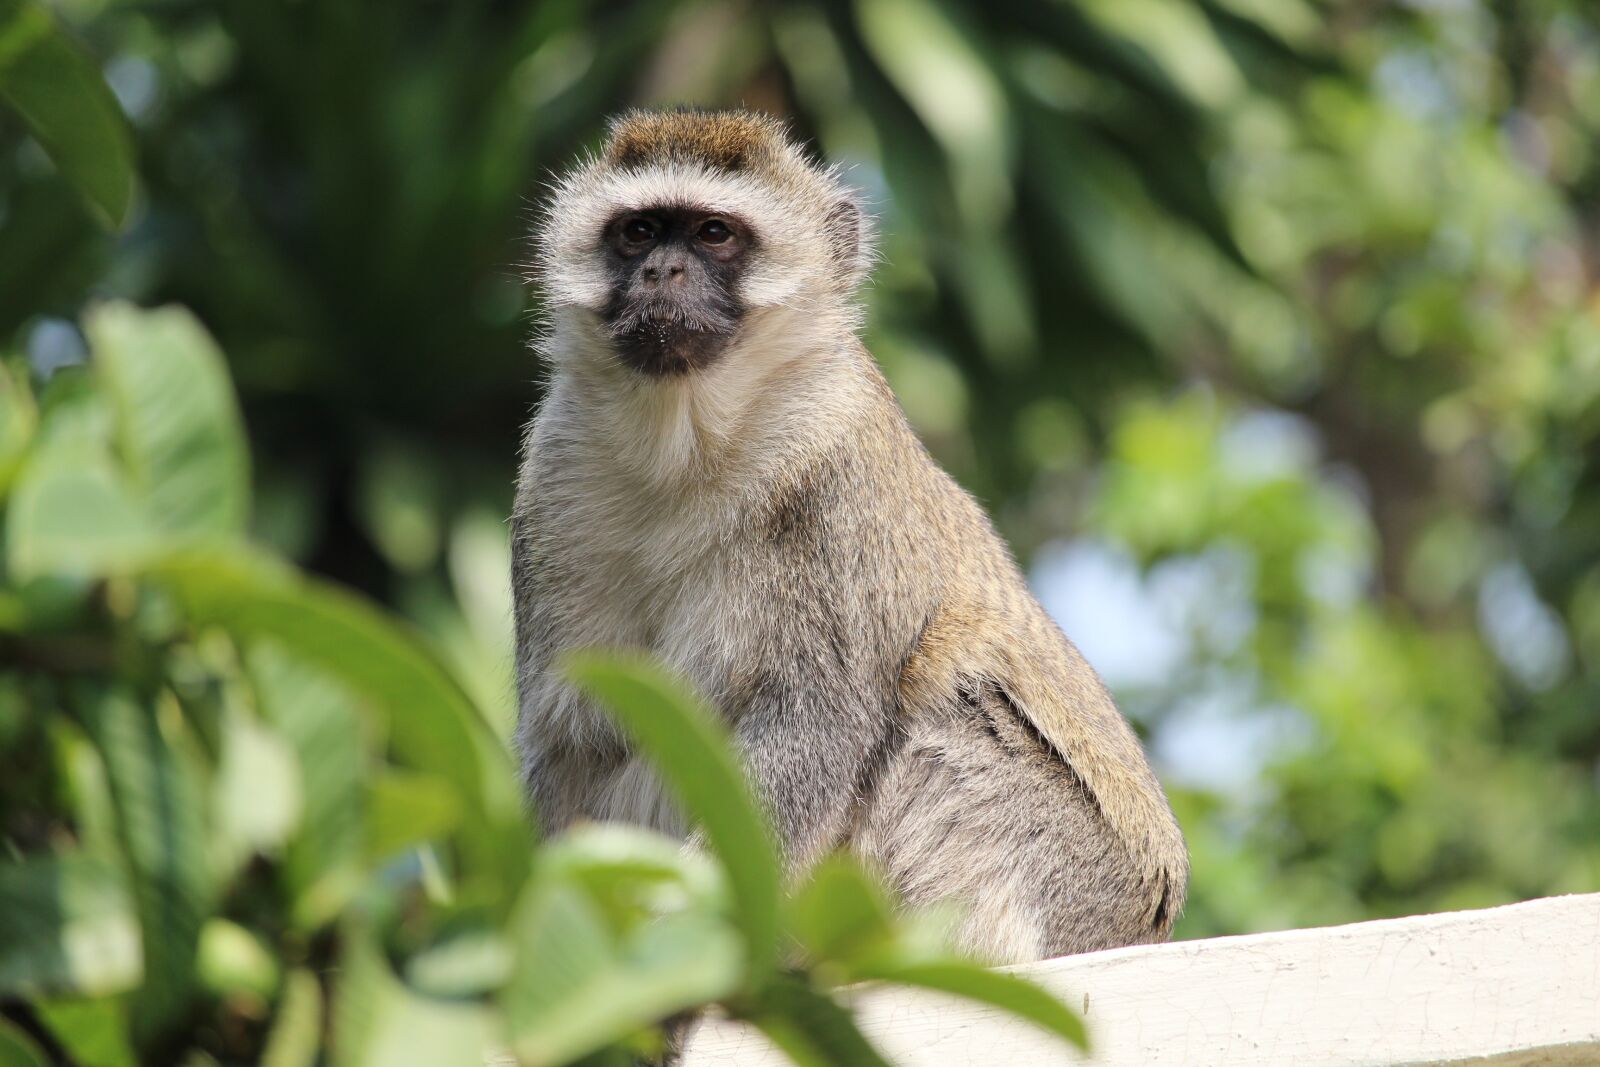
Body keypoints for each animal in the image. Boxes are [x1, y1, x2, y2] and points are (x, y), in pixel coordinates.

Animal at [512, 108, 1190, 959]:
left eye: (713, 233)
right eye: (636, 232)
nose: (660, 273)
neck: (687, 443)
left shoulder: (835, 467)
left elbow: (815, 726)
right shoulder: (552, 475)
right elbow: (573, 732)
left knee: (942, 718)